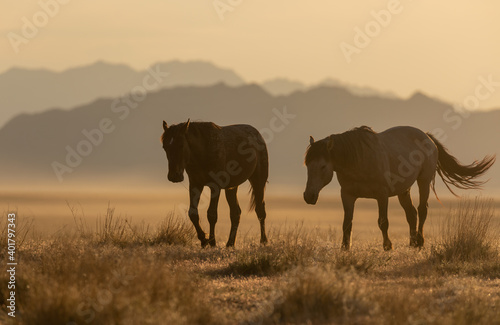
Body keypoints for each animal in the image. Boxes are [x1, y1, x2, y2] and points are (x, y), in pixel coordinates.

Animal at [302, 125, 494, 249]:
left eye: (323, 166)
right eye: (307, 165)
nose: (308, 196)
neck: (359, 159)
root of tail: (427, 137)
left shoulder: (381, 195)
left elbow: (383, 221)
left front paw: (388, 246)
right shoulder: (347, 195)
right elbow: (346, 223)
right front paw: (344, 247)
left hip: (423, 181)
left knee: (422, 210)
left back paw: (420, 241)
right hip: (403, 190)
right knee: (411, 214)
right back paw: (412, 242)